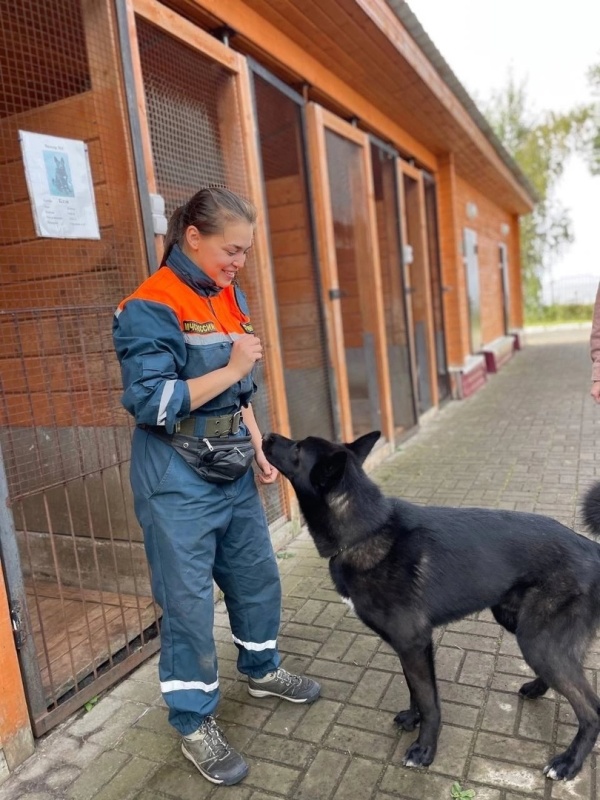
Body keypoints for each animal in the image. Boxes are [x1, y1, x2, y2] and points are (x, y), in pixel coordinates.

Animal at [264, 432, 600, 780]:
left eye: (298, 448)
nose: (267, 436)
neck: (365, 530)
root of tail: (592, 548)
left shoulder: (414, 643)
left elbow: (429, 701)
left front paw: (425, 749)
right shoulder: (408, 647)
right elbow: (415, 689)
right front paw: (412, 720)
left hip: (537, 641)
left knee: (592, 709)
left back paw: (568, 763)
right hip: (521, 626)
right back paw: (536, 689)